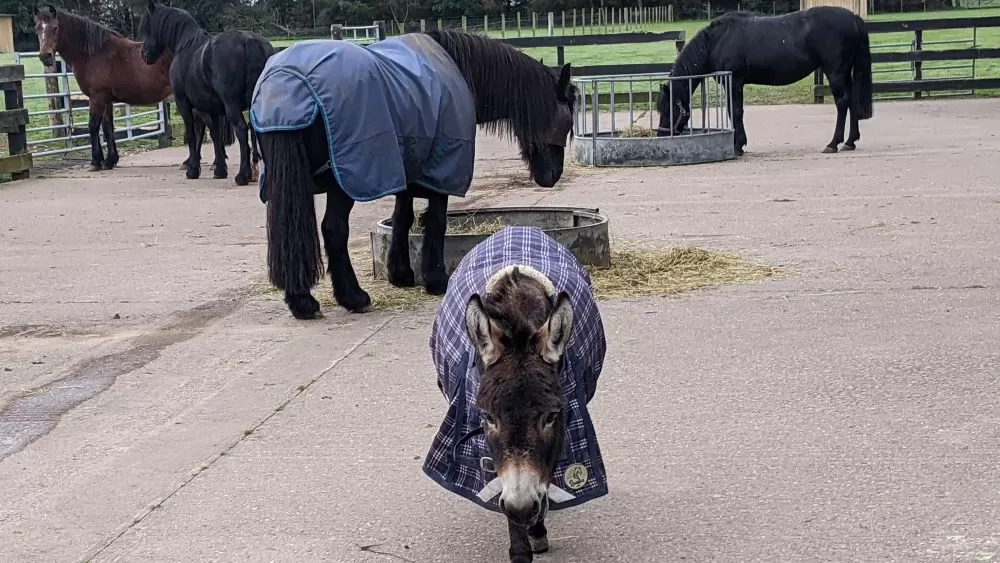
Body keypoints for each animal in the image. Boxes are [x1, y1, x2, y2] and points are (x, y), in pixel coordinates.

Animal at [31, 3, 234, 174]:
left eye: (55, 28)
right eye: (37, 29)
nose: (45, 56)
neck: (94, 53)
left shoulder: (97, 98)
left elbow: (93, 126)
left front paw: (96, 162)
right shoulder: (107, 100)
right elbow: (108, 127)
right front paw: (110, 161)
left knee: (205, 126)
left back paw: (211, 163)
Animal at [139, 2, 274, 187]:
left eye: (147, 27)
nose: (144, 55)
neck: (185, 46)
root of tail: (249, 41)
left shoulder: (184, 104)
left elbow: (192, 134)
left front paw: (192, 170)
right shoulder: (212, 109)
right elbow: (215, 135)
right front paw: (220, 170)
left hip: (231, 105)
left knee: (241, 129)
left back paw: (242, 176)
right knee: (255, 129)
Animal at [252, 30, 580, 322]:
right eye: (567, 120)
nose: (552, 176)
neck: (459, 70)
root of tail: (286, 83)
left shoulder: (410, 165)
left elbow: (403, 218)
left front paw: (401, 274)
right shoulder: (441, 169)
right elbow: (435, 220)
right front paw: (436, 279)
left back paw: (301, 300)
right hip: (343, 182)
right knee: (333, 229)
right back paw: (352, 297)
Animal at [424, 227, 608, 560]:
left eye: (551, 416)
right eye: (488, 417)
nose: (521, 508)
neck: (519, 319)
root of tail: (518, 229)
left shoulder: (562, 429)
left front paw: (536, 527)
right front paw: (522, 542)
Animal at [652, 7, 872, 156]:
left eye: (669, 109)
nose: (662, 135)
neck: (717, 41)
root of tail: (853, 18)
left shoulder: (735, 82)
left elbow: (735, 111)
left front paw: (737, 145)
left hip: (835, 72)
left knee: (842, 103)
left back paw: (833, 143)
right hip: (845, 73)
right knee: (851, 101)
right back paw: (850, 141)